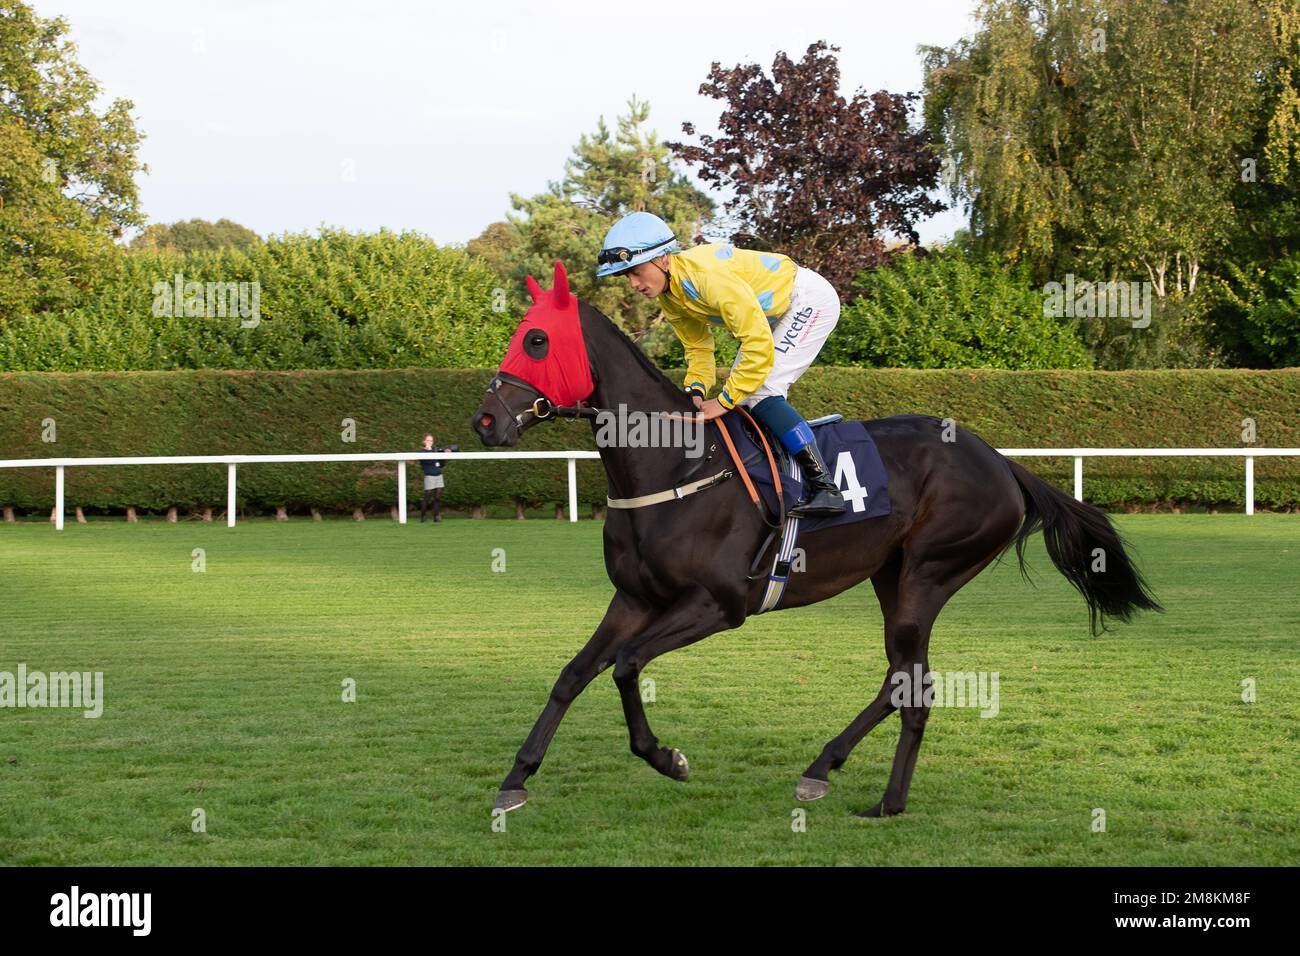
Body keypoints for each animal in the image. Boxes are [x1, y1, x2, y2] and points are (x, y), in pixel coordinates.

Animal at [473, 265, 1164, 816]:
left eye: (536, 340)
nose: (484, 421)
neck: (675, 464)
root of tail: (1000, 462)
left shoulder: (719, 605)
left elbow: (626, 665)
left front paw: (667, 758)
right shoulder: (635, 599)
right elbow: (573, 674)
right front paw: (515, 780)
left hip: (929, 573)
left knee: (910, 684)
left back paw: (883, 800)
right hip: (892, 576)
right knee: (905, 681)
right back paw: (827, 770)